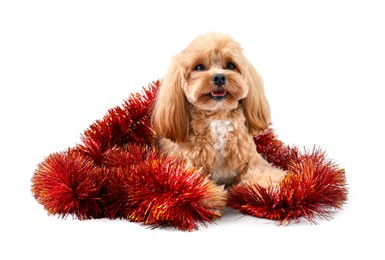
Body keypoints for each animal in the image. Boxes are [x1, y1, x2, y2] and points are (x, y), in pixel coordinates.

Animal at [152, 33, 284, 200]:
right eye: (199, 67)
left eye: (230, 66)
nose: (219, 77)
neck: (217, 117)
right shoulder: (188, 166)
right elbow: (193, 182)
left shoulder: (252, 161)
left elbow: (264, 172)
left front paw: (271, 185)